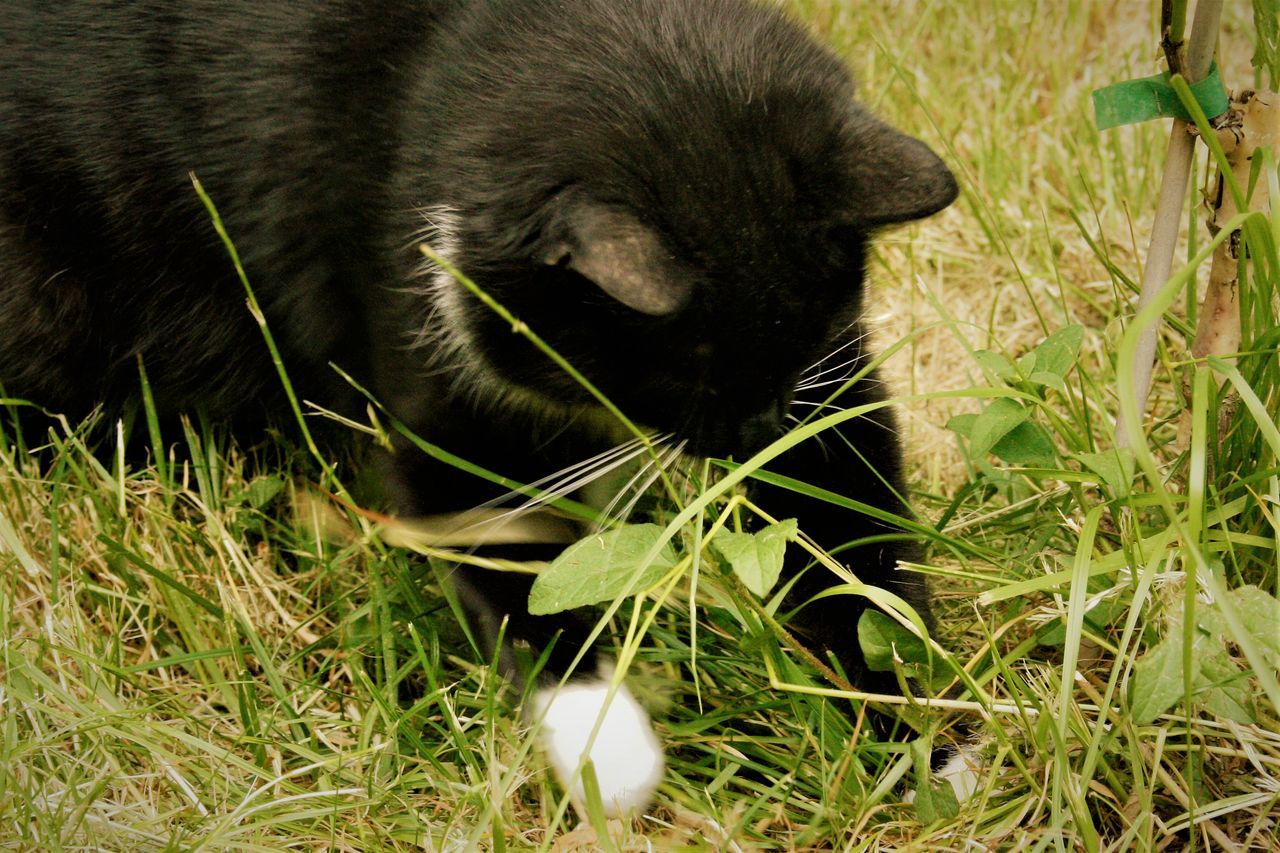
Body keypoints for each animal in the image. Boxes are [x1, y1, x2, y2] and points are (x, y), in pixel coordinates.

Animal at [0, 0, 957, 814]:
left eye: (805, 336)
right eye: (691, 367)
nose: (752, 434)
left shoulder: (833, 389)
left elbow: (851, 534)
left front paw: (922, 735)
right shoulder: (440, 393)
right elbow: (512, 560)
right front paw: (611, 747)